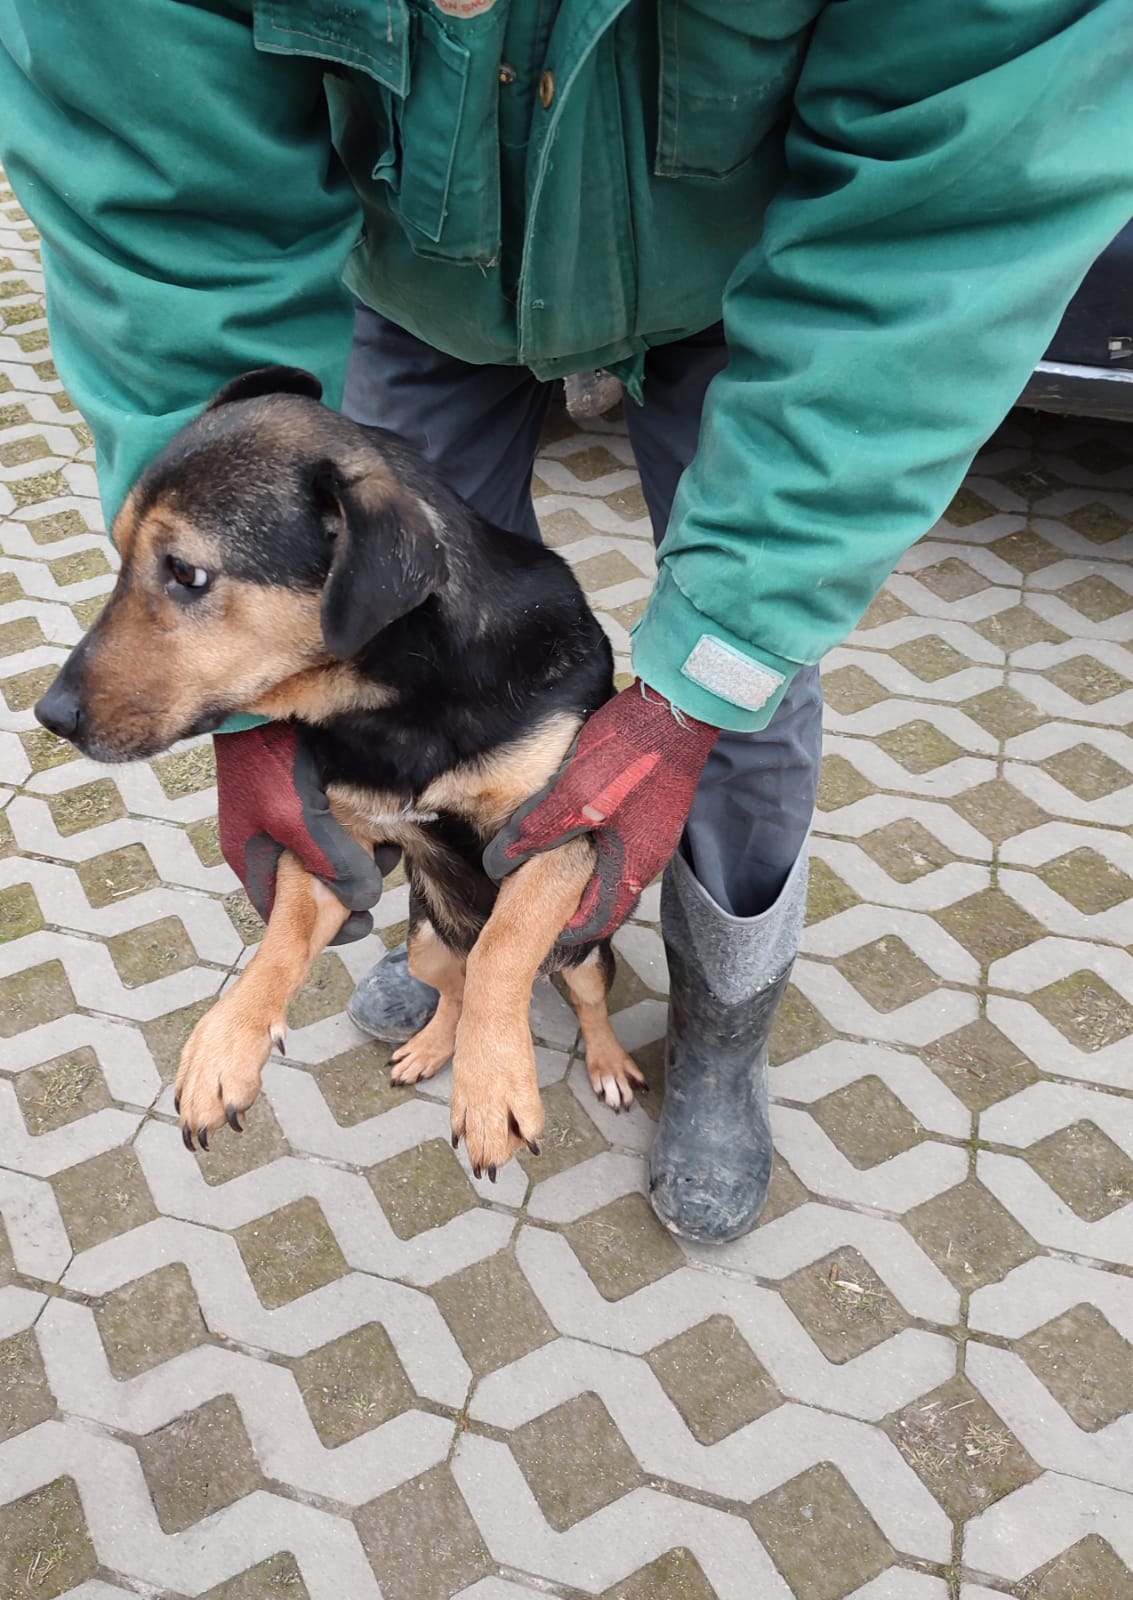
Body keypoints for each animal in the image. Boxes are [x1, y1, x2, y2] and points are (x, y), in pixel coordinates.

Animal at [33, 366, 645, 1176]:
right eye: (119, 553)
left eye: (187, 572)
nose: (49, 715)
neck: (398, 700)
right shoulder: (335, 846)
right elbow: (280, 943)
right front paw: (223, 1047)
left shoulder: (555, 833)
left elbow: (503, 949)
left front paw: (492, 1085)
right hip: (426, 945)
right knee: (452, 984)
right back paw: (430, 1046)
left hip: (579, 951)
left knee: (580, 996)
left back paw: (606, 1064)